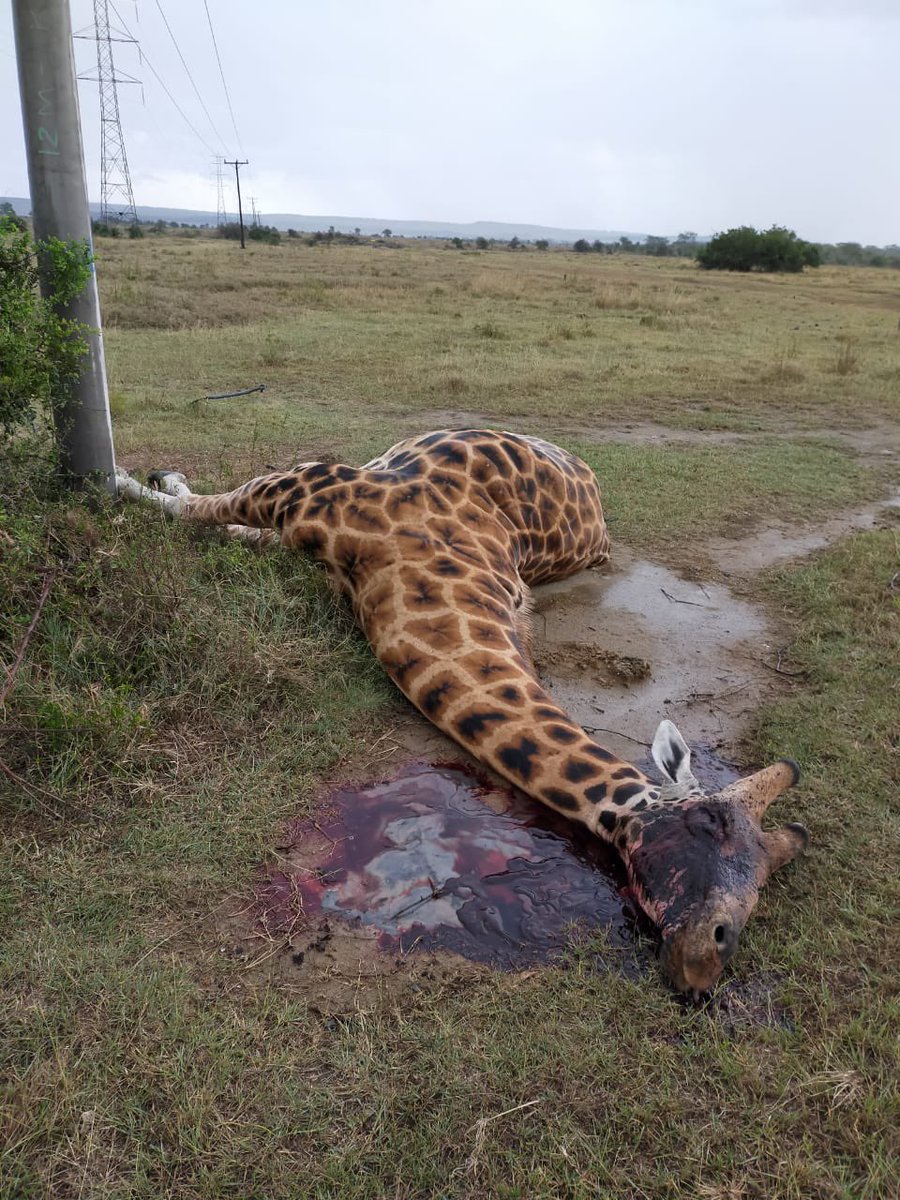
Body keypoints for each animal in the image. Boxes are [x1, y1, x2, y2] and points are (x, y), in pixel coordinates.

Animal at [116, 429, 808, 997]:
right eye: (710, 823)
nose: (703, 967)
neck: (398, 562)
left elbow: (213, 517)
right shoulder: (308, 483)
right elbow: (195, 510)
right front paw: (124, 480)